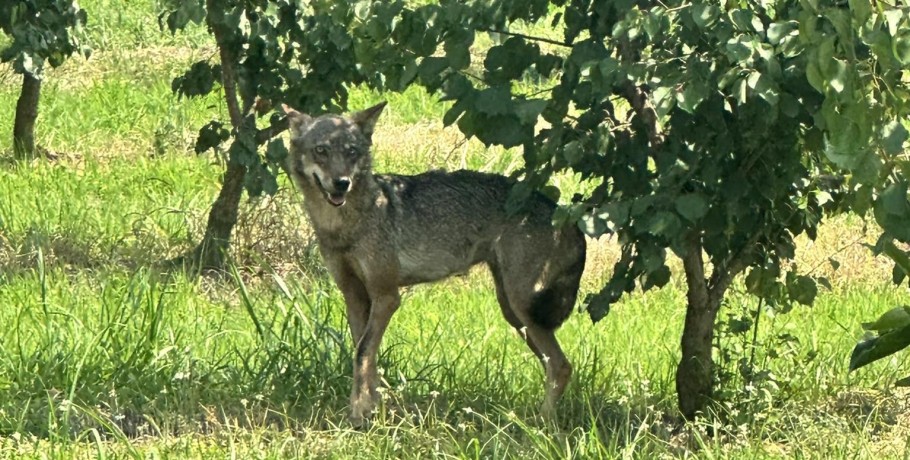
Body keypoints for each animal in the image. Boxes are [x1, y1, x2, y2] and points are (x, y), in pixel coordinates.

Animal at [282, 102, 588, 426]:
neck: (346, 226)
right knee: (553, 364)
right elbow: (365, 356)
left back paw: (541, 424)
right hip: (515, 313)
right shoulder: (354, 296)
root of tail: (566, 214)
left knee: (561, 366)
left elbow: (362, 353)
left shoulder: (386, 297)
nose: (342, 183)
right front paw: (371, 410)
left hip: (523, 309)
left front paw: (359, 413)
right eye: (321, 151)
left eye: (352, 152)